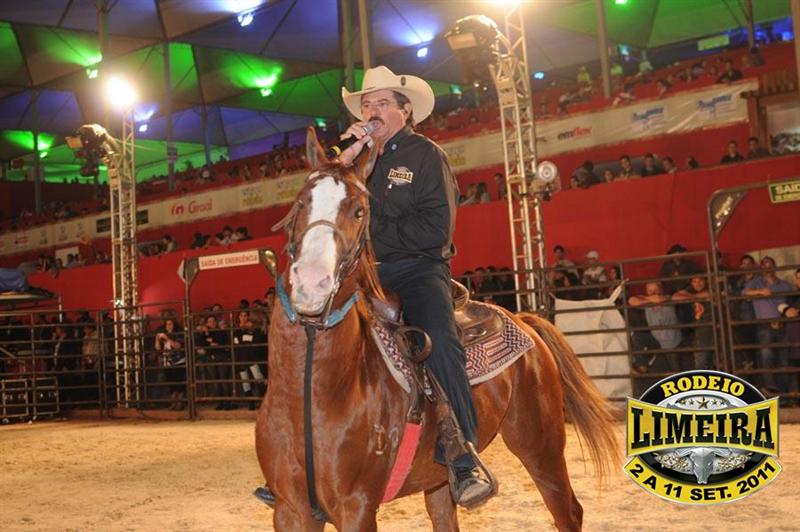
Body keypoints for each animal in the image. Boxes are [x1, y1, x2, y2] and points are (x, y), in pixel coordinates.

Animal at [255, 127, 620, 531]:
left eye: (360, 211)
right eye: (301, 202)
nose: (311, 282)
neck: (310, 391)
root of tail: (525, 321)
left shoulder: (357, 507)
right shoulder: (290, 509)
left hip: (541, 445)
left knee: (567, 510)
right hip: (440, 482)